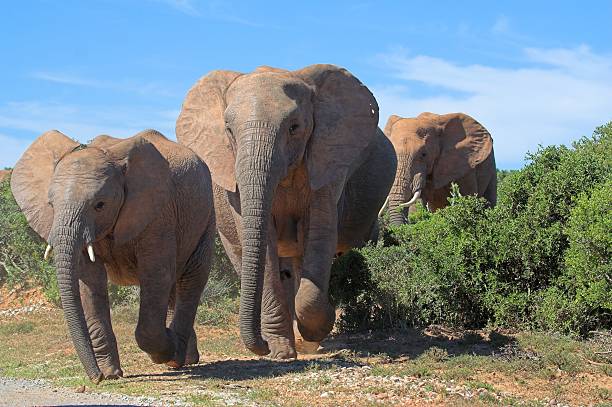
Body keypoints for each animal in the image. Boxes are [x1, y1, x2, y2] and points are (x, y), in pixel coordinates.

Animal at [10, 130, 218, 382]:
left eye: (100, 205)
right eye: (51, 204)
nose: (95, 378)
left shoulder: (159, 214)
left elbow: (156, 274)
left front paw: (165, 349)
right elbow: (90, 281)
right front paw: (111, 374)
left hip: (206, 217)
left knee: (191, 279)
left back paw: (177, 356)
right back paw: (183, 358)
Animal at [177, 63, 396, 360]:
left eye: (294, 128)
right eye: (228, 130)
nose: (261, 346)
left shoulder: (326, 165)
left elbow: (319, 235)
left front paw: (318, 329)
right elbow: (266, 249)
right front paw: (281, 352)